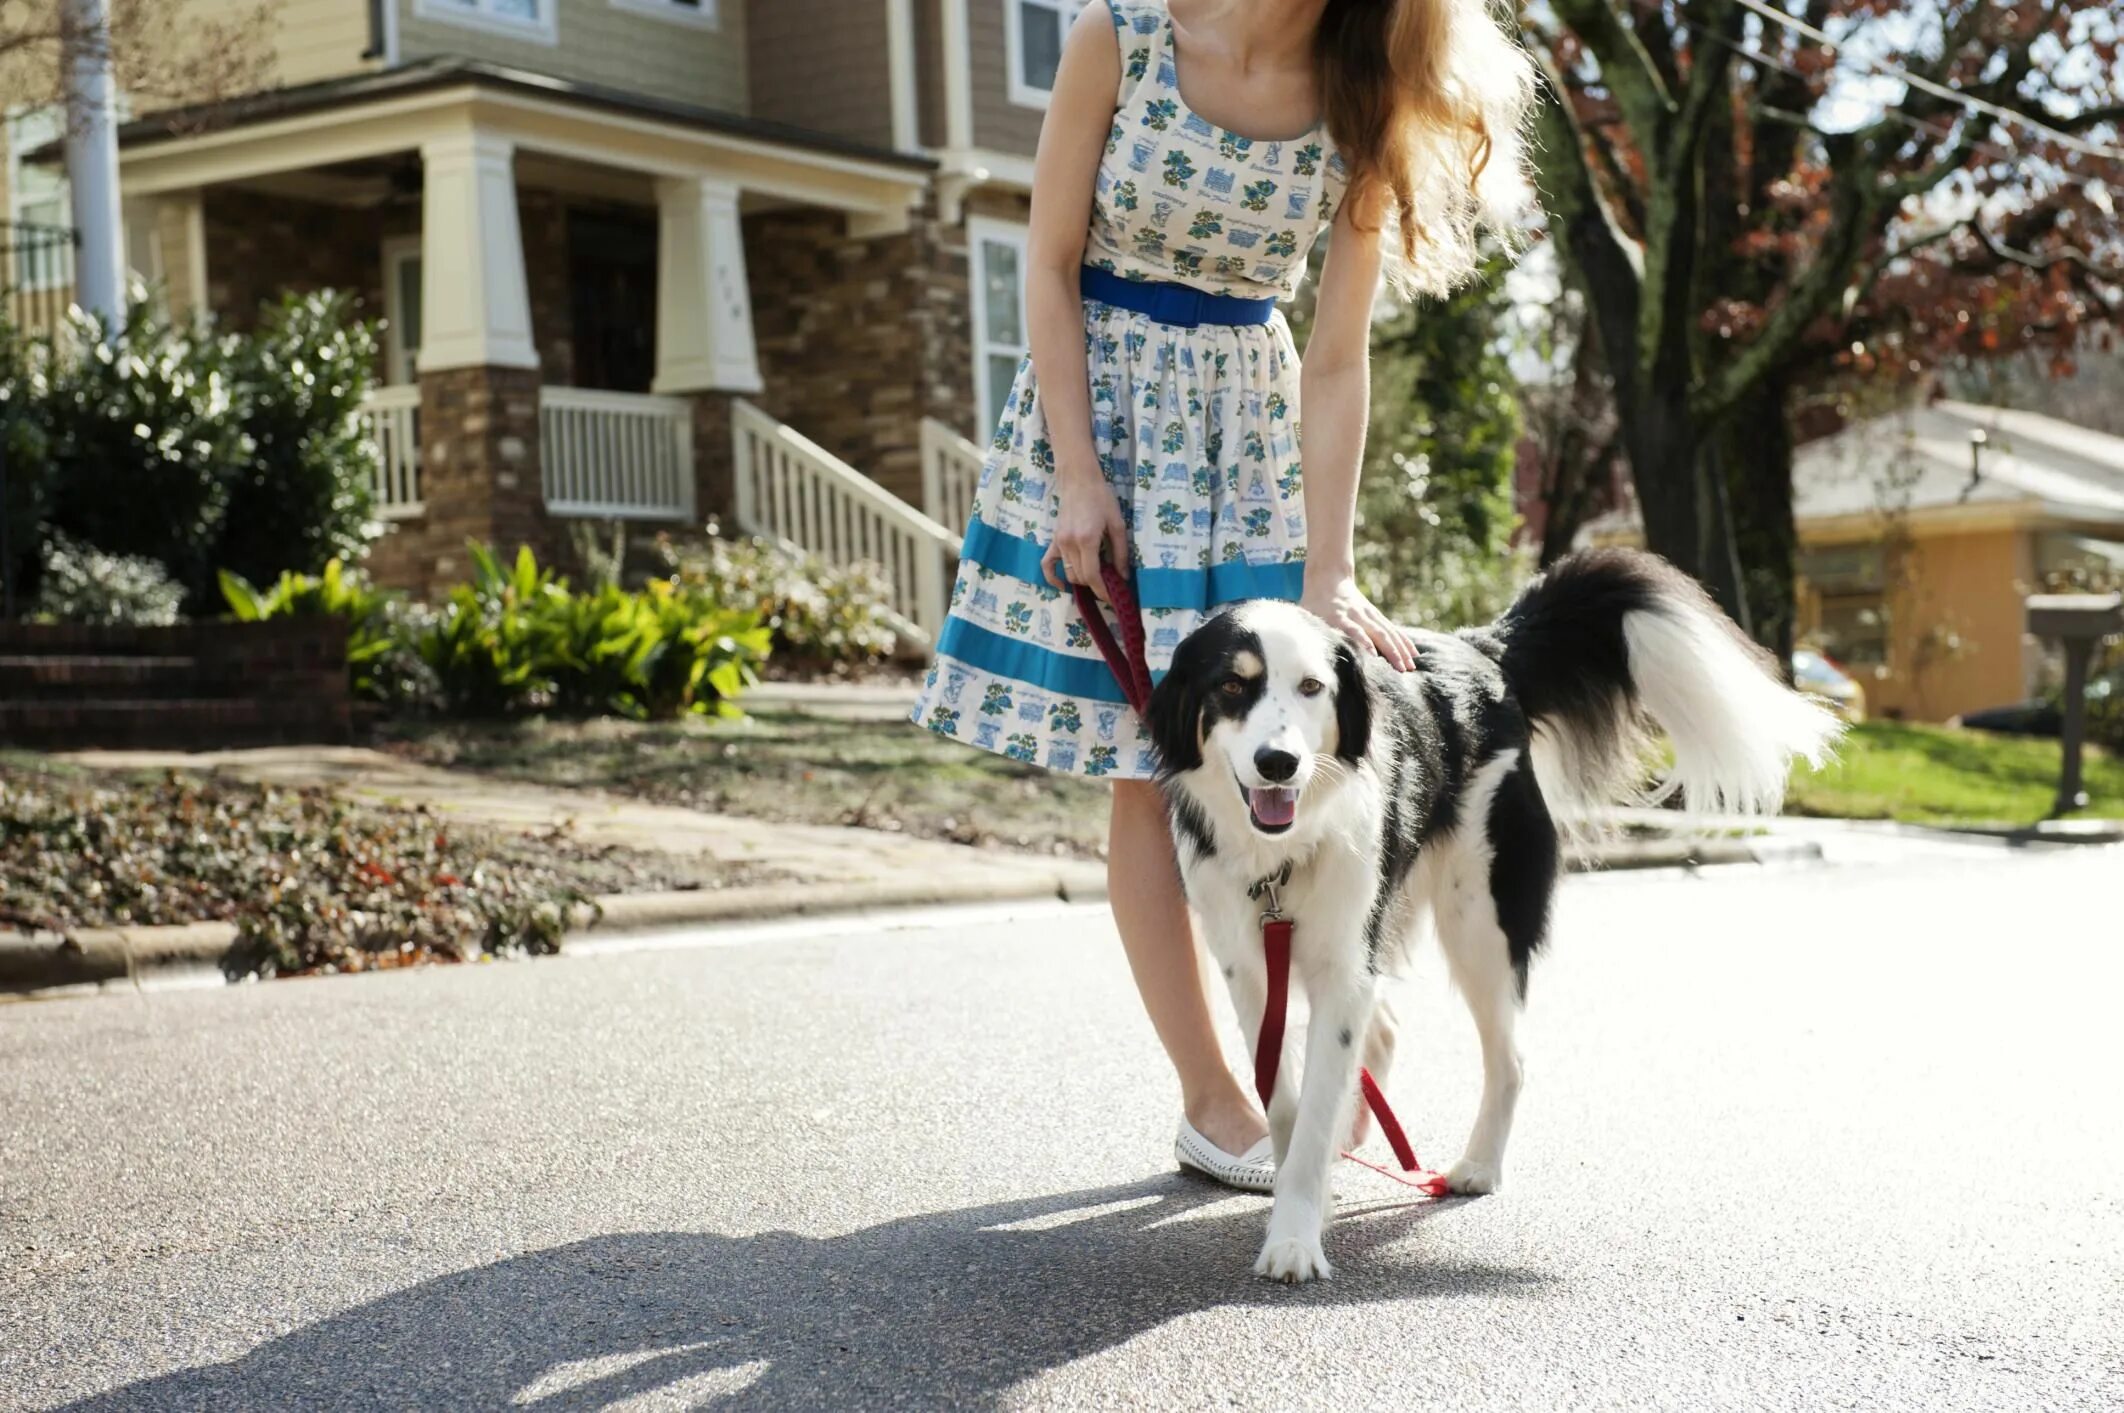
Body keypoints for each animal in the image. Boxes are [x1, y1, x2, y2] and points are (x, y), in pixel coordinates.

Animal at [1146, 543, 1843, 1283]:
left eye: (1312, 687)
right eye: (1231, 686)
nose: (1278, 763)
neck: (1283, 853)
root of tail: (1482, 650)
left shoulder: (1341, 958)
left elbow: (1315, 1100)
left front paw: (1296, 1236)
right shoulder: (1251, 968)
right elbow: (1284, 1102)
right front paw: (1301, 1196)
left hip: (1479, 919)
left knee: (1510, 1055)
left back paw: (1478, 1164)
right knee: (1386, 1029)